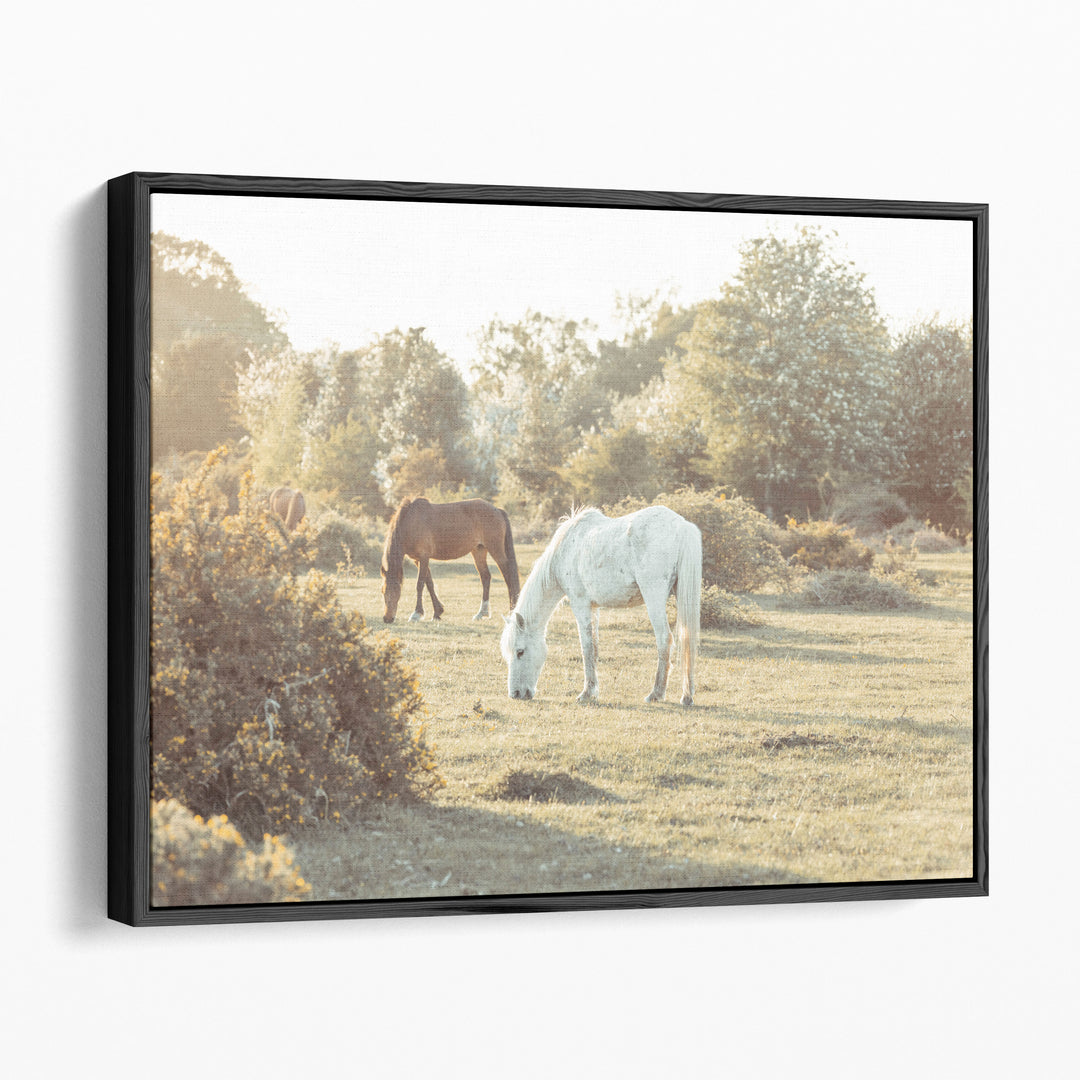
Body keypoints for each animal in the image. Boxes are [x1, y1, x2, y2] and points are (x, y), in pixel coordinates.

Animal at [381, 497, 521, 624]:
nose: (387, 618)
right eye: (383, 591)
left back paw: (512, 611)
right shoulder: (417, 560)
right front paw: (437, 612)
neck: (411, 521)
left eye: (397, 591)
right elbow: (429, 583)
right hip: (479, 551)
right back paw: (481, 613)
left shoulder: (424, 557)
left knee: (508, 576)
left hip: (495, 550)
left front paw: (416, 614)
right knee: (486, 577)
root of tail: (497, 510)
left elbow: (420, 585)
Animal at [501, 505, 701, 706]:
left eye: (520, 652)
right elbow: (595, 646)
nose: (515, 694)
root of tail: (682, 525)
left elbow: (587, 647)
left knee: (664, 639)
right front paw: (593, 690)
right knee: (687, 638)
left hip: (654, 597)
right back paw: (687, 696)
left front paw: (586, 693)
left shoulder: (580, 605)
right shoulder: (593, 608)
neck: (564, 551)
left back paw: (656, 693)